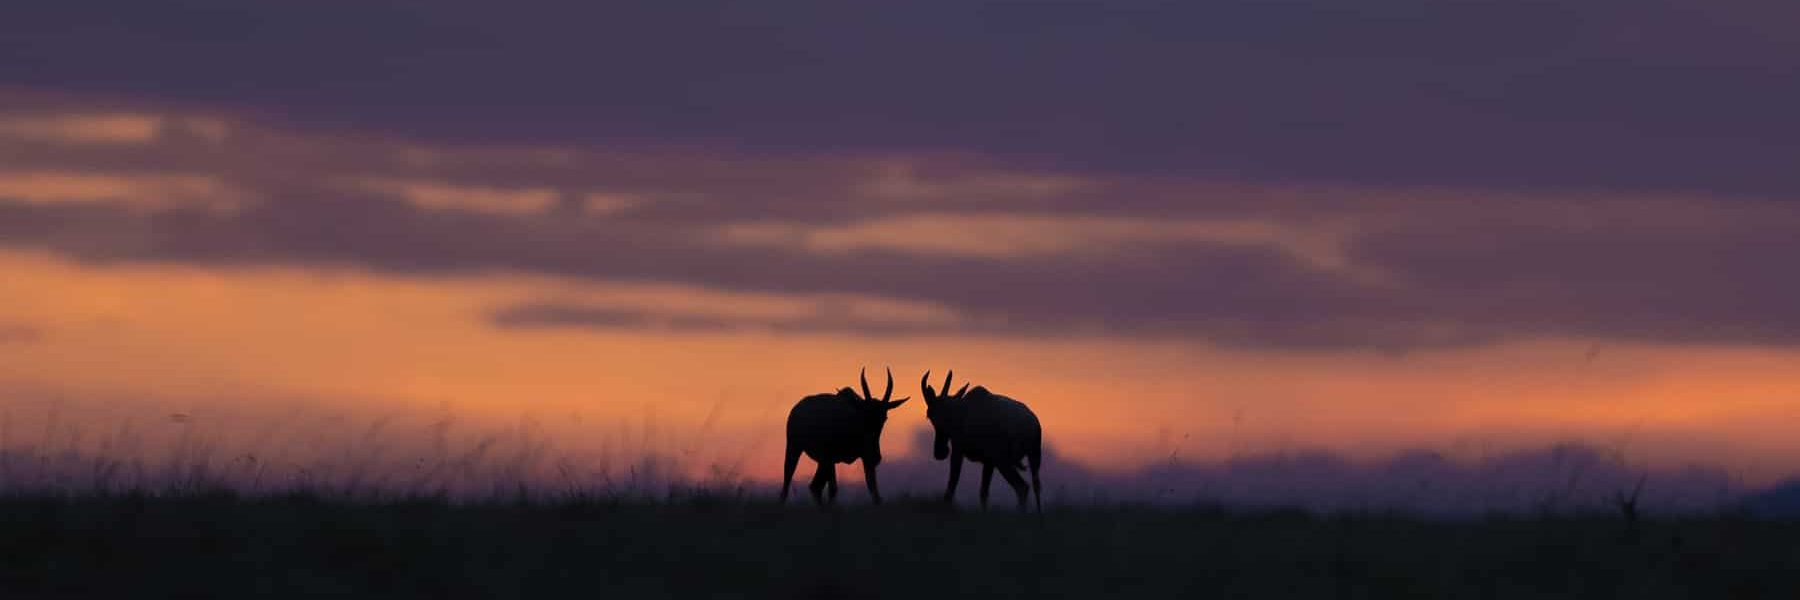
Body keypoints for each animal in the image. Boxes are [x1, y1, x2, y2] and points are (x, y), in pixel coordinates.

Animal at [781, 367, 914, 500]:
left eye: (884, 418)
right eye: (864, 415)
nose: (875, 456)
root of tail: (797, 408)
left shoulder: (864, 459)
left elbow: (874, 491)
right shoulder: (830, 458)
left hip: (823, 461)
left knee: (818, 487)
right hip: (796, 449)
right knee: (796, 485)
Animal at [928, 369, 1044, 508]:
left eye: (941, 416)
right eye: (931, 417)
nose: (939, 452)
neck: (963, 411)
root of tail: (1032, 425)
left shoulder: (958, 450)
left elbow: (952, 486)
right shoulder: (989, 462)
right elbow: (983, 493)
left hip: (1003, 461)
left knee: (1022, 487)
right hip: (1033, 458)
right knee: (1035, 487)